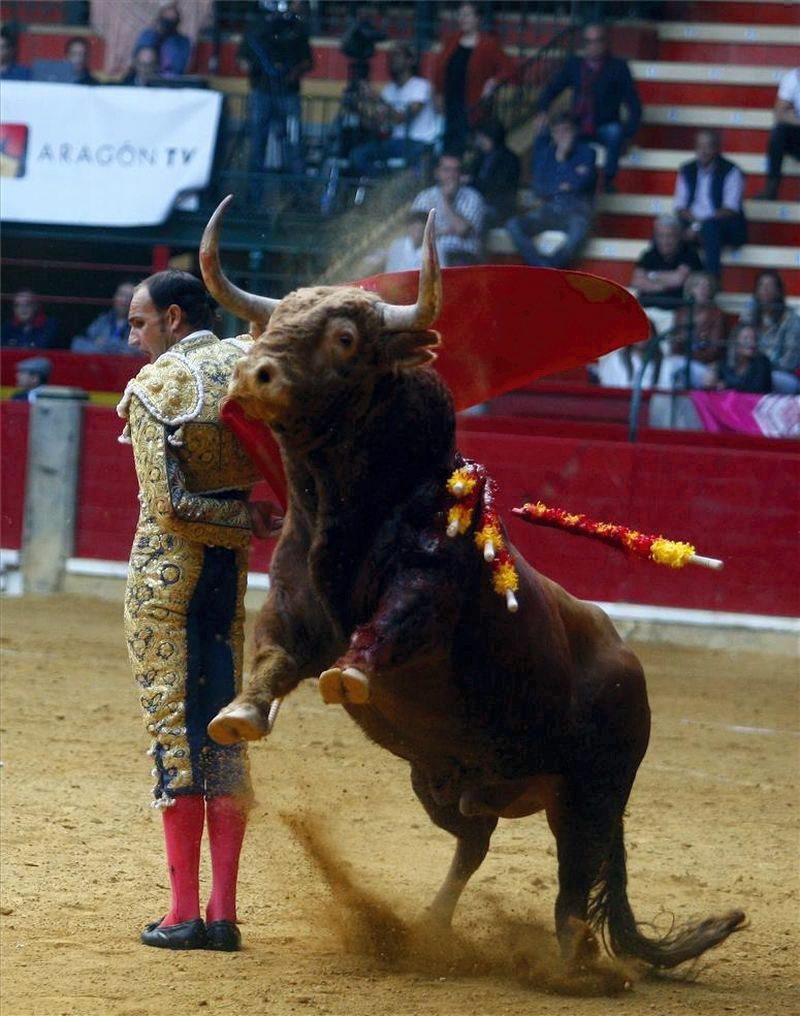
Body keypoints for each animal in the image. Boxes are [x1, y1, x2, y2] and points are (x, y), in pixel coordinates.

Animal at [200, 196, 744, 983]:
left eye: (344, 337)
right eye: (267, 326)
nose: (254, 373)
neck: (350, 511)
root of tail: (630, 666)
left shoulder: (428, 590)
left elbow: (390, 624)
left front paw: (349, 674)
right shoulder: (292, 602)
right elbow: (272, 655)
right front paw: (238, 715)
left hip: (592, 794)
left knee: (574, 882)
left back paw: (575, 968)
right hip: (442, 782)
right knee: (475, 842)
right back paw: (428, 930)